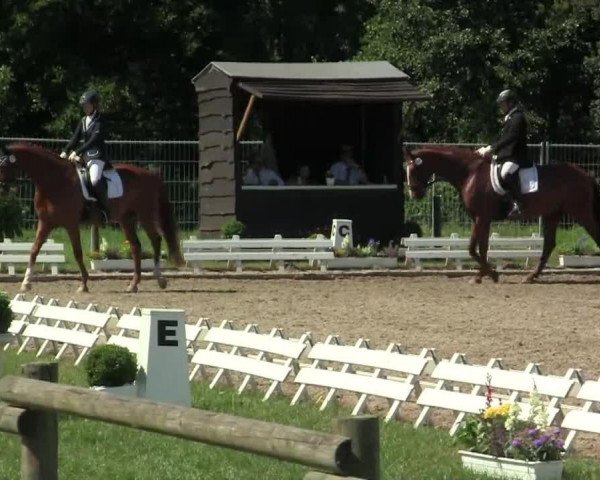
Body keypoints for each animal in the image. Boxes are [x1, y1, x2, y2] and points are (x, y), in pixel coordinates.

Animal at [0, 142, 185, 292]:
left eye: (3, 164)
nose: (2, 189)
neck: (54, 180)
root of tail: (152, 175)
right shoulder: (46, 222)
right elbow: (34, 250)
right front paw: (26, 283)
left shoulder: (71, 224)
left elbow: (77, 252)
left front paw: (83, 284)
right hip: (126, 219)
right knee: (135, 246)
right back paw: (133, 284)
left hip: (145, 215)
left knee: (156, 240)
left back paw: (160, 279)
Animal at [404, 144, 600, 284]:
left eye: (413, 170)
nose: (414, 194)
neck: (470, 173)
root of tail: (586, 175)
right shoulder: (481, 219)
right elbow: (481, 248)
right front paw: (482, 276)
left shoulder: (481, 218)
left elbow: (472, 249)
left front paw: (492, 274)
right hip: (552, 214)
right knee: (549, 245)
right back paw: (531, 277)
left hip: (580, 212)